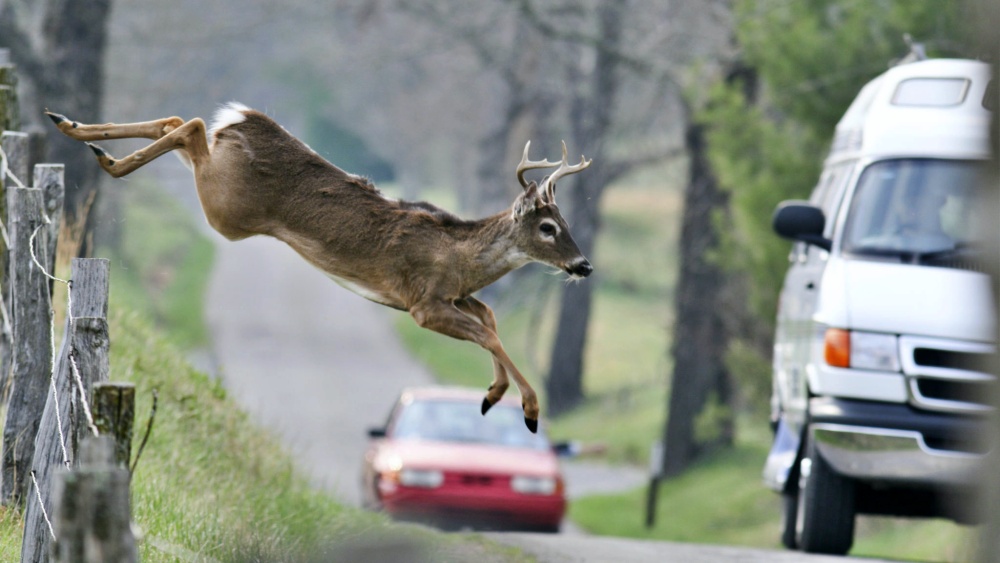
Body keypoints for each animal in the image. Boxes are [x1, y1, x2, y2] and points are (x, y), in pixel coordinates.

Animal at [47, 103, 592, 434]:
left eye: (566, 222)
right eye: (548, 227)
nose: (583, 265)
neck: (460, 257)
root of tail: (244, 119)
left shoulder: (453, 297)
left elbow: (491, 320)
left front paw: (492, 394)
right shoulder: (423, 304)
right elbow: (489, 332)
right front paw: (527, 409)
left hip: (218, 188)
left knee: (180, 121)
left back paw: (74, 129)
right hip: (225, 209)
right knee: (192, 125)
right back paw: (104, 156)